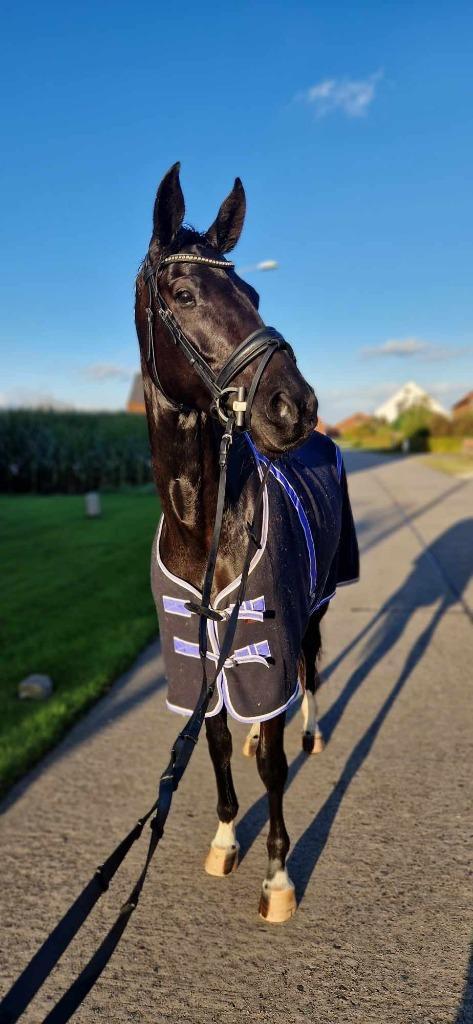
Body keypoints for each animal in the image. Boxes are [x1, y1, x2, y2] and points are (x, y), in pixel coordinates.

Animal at [134, 163, 358, 925]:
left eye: (253, 294)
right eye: (183, 292)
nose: (295, 405)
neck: (204, 527)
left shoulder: (267, 633)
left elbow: (271, 763)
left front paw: (278, 876)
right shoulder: (195, 649)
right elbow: (217, 742)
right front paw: (227, 837)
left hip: (314, 606)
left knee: (309, 674)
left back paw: (311, 729)